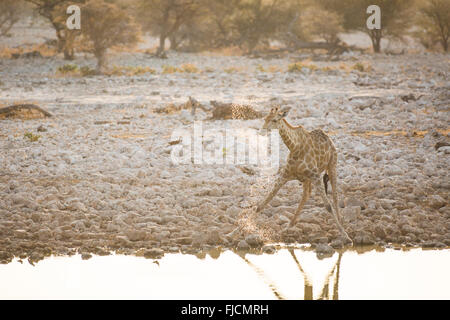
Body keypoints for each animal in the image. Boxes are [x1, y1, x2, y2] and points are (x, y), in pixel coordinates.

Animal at [256, 105, 352, 242]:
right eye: (265, 118)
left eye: (274, 120)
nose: (262, 132)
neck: (295, 147)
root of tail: (327, 136)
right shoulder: (285, 175)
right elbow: (263, 203)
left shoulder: (315, 176)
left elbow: (328, 205)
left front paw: (346, 236)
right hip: (307, 179)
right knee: (306, 195)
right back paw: (288, 226)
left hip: (332, 165)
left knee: (335, 195)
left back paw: (341, 222)